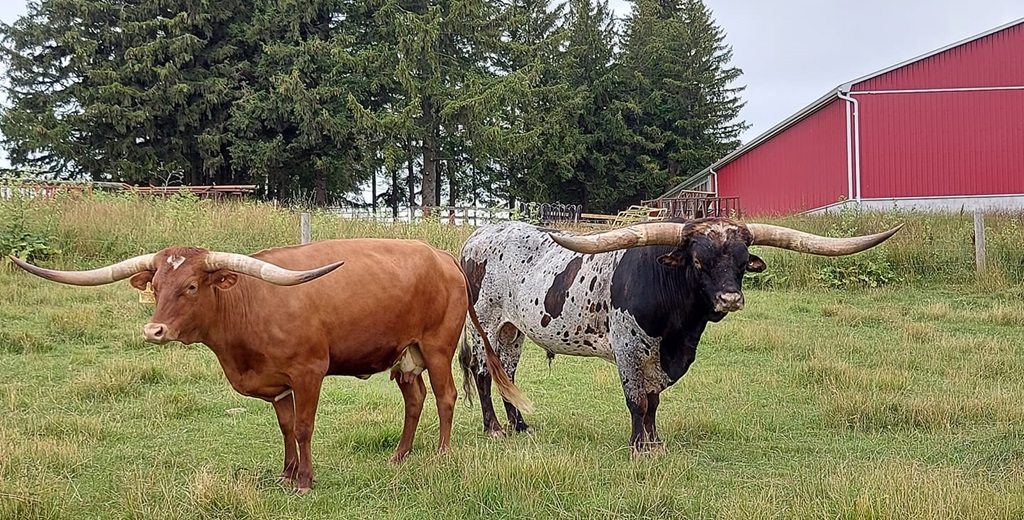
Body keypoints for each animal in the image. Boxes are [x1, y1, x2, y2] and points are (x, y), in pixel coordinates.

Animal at [11, 239, 530, 493]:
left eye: (192, 286)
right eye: (156, 284)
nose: (153, 331)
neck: (248, 304)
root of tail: (443, 256)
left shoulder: (308, 372)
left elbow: (303, 427)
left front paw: (304, 481)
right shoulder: (276, 382)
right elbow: (283, 426)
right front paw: (285, 474)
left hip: (437, 347)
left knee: (445, 397)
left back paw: (440, 456)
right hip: (405, 355)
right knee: (415, 398)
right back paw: (399, 457)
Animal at [458, 217, 901, 455]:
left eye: (743, 263)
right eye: (699, 262)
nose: (730, 298)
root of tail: (476, 237)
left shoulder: (664, 356)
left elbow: (654, 402)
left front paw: (655, 442)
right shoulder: (628, 348)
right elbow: (637, 400)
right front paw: (639, 447)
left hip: (513, 329)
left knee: (507, 375)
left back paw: (520, 426)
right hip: (484, 323)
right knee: (482, 374)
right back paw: (493, 428)